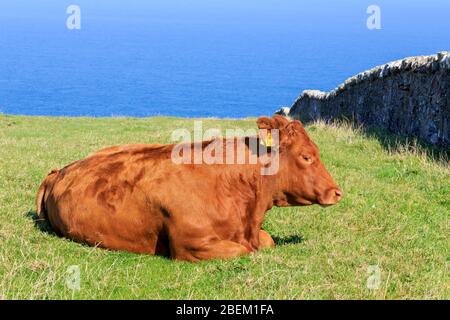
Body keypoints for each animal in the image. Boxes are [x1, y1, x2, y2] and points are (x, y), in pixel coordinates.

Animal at [37, 116, 342, 262]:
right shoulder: (191, 245)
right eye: (306, 156)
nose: (337, 192)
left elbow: (268, 242)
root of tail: (60, 170)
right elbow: (241, 251)